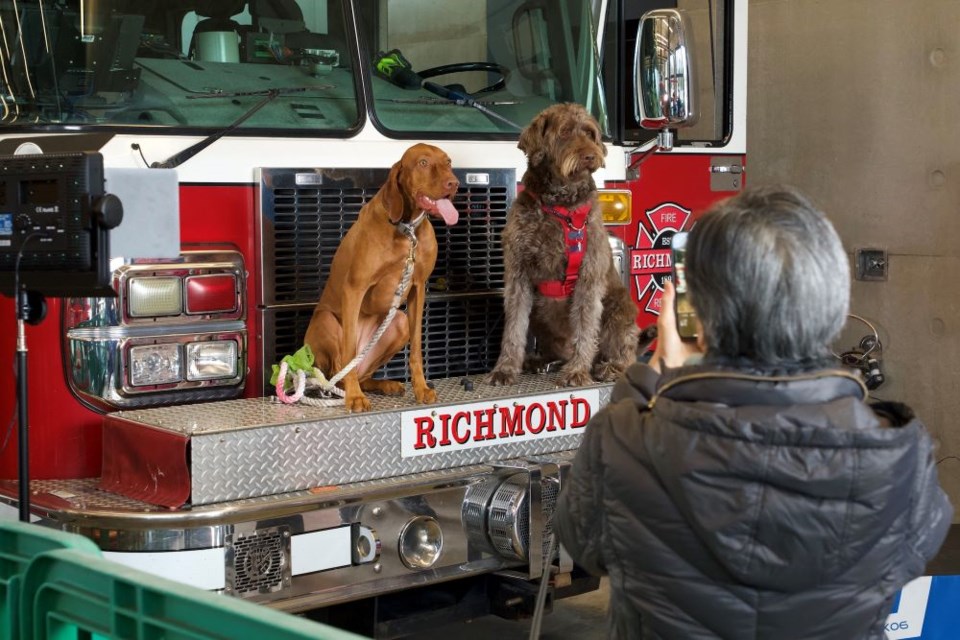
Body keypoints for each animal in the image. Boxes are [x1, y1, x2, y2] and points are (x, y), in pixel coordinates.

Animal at [306, 143, 460, 412]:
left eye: (448, 162)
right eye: (423, 163)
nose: (454, 183)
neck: (407, 230)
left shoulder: (418, 288)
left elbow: (417, 349)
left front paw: (421, 388)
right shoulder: (354, 288)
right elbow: (348, 352)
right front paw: (355, 398)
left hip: (398, 322)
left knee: (362, 374)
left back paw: (384, 385)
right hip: (326, 321)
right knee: (340, 370)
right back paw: (349, 390)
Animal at [488, 102, 636, 388]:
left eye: (589, 133)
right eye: (565, 132)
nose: (591, 156)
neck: (559, 206)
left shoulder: (588, 276)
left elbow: (585, 326)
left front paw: (577, 371)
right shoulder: (518, 274)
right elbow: (514, 327)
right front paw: (505, 368)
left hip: (618, 308)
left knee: (626, 354)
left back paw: (608, 367)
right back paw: (541, 361)